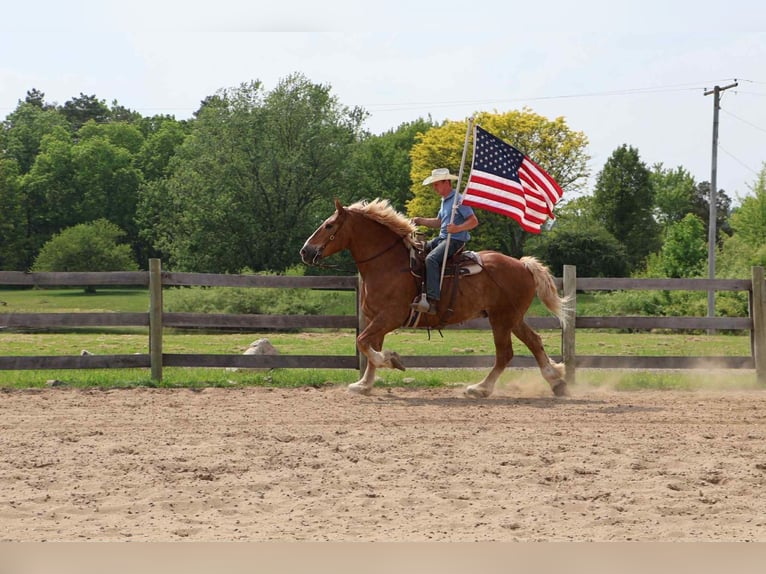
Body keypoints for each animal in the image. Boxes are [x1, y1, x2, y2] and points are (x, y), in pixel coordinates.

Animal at [300, 198, 570, 398]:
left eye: (329, 225)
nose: (305, 251)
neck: (388, 265)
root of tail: (523, 265)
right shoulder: (377, 319)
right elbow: (369, 347)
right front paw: (364, 385)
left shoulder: (389, 317)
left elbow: (363, 343)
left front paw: (392, 360)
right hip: (512, 317)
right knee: (534, 341)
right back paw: (556, 381)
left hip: (502, 319)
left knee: (505, 354)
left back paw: (480, 388)